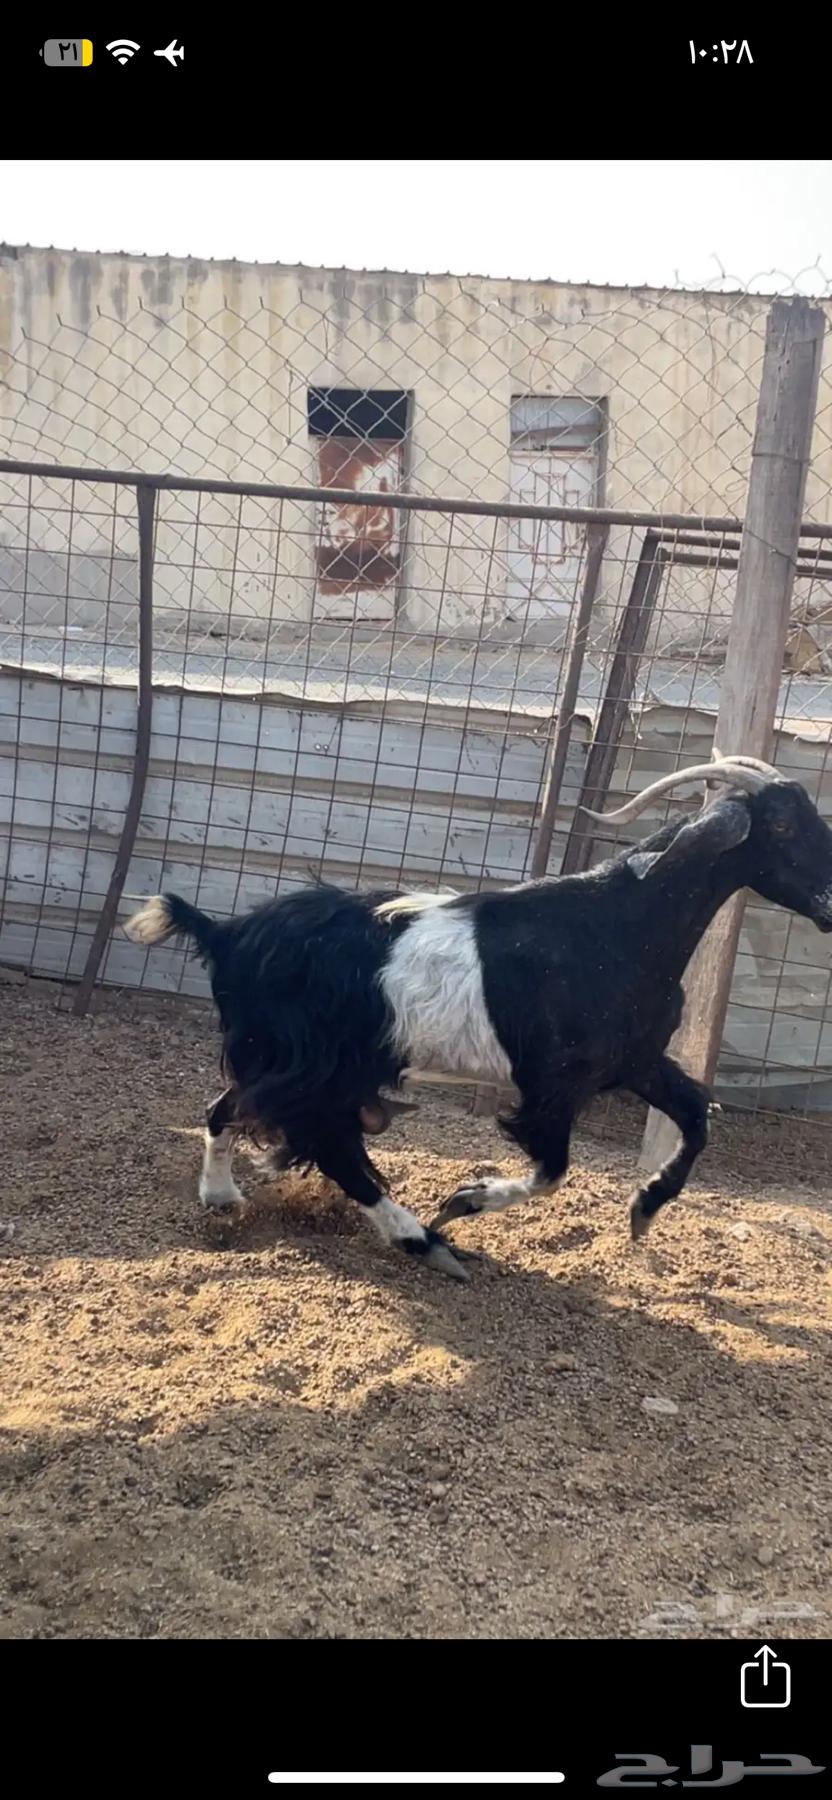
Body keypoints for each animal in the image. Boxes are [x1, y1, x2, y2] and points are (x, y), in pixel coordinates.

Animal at [124, 754, 832, 1280]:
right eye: (782, 827)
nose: (830, 903)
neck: (620, 925)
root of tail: (225, 934)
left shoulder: (631, 1060)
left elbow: (696, 1115)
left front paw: (644, 1207)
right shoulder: (552, 1084)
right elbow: (552, 1170)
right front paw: (465, 1200)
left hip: (315, 1066)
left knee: (270, 1123)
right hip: (304, 1063)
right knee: (289, 1131)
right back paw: (409, 1238)